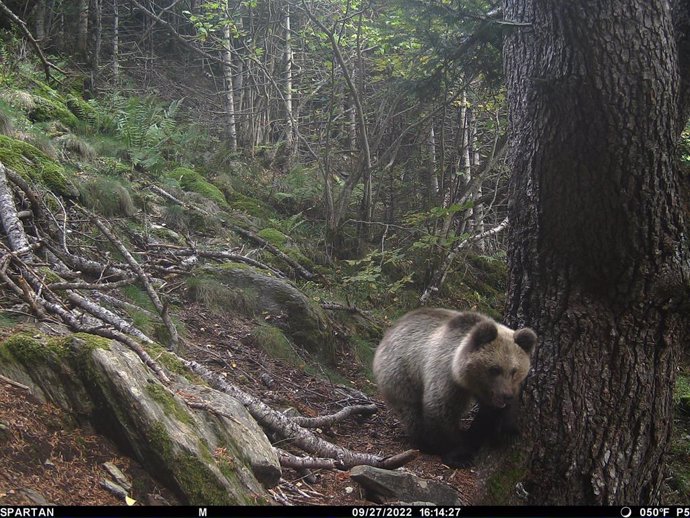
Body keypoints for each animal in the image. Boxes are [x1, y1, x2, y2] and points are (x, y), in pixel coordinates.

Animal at [374, 306, 536, 470]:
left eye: (514, 370)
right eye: (495, 369)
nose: (506, 395)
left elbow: (493, 413)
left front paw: (506, 431)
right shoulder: (446, 376)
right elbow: (441, 409)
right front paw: (459, 456)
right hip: (401, 372)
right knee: (411, 410)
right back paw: (423, 442)